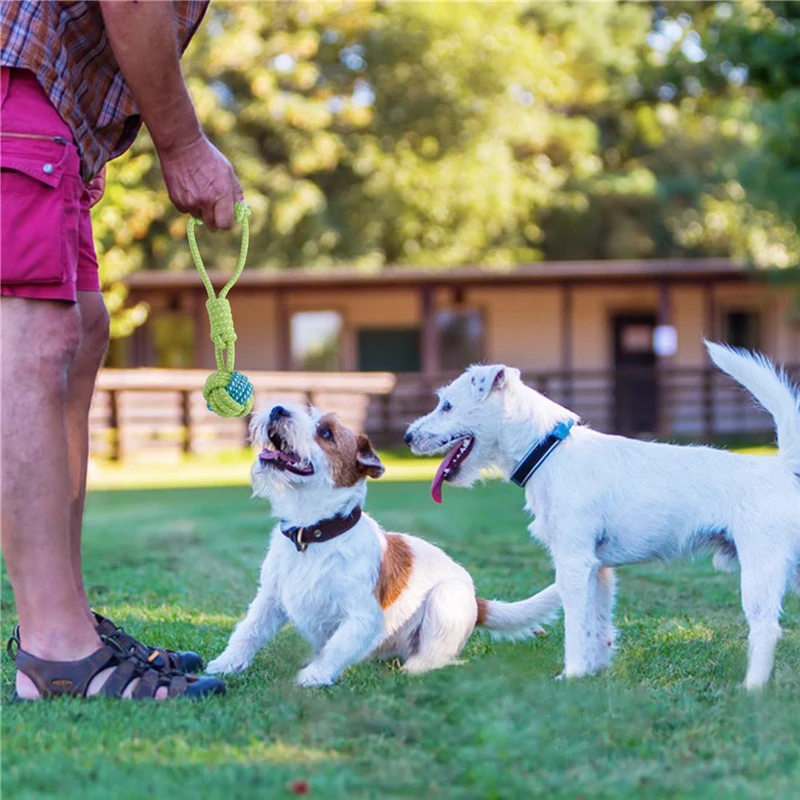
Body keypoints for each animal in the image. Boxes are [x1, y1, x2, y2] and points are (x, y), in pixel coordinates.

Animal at [206, 404, 560, 684]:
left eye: (325, 432)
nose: (278, 409)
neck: (313, 533)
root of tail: (477, 602)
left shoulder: (363, 618)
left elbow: (337, 646)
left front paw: (315, 676)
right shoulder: (269, 600)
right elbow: (248, 631)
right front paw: (225, 664)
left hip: (444, 601)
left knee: (438, 659)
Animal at [406, 340, 800, 692]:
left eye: (447, 405)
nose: (408, 436)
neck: (548, 451)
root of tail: (782, 469)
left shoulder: (574, 564)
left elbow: (576, 626)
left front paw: (572, 675)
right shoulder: (598, 570)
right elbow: (596, 624)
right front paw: (593, 672)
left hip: (760, 569)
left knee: (766, 628)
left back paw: (752, 689)